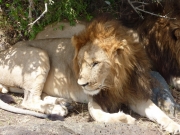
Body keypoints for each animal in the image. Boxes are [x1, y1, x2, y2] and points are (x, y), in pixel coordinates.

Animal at [0, 17, 179, 133]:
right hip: (39, 55)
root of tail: (5, 51)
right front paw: (125, 119)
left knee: (36, 96)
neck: (115, 81)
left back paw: (63, 102)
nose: (81, 84)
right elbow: (99, 116)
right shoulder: (95, 100)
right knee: (28, 101)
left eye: (95, 63)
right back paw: (57, 109)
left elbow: (158, 112)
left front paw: (173, 125)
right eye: (80, 63)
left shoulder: (135, 95)